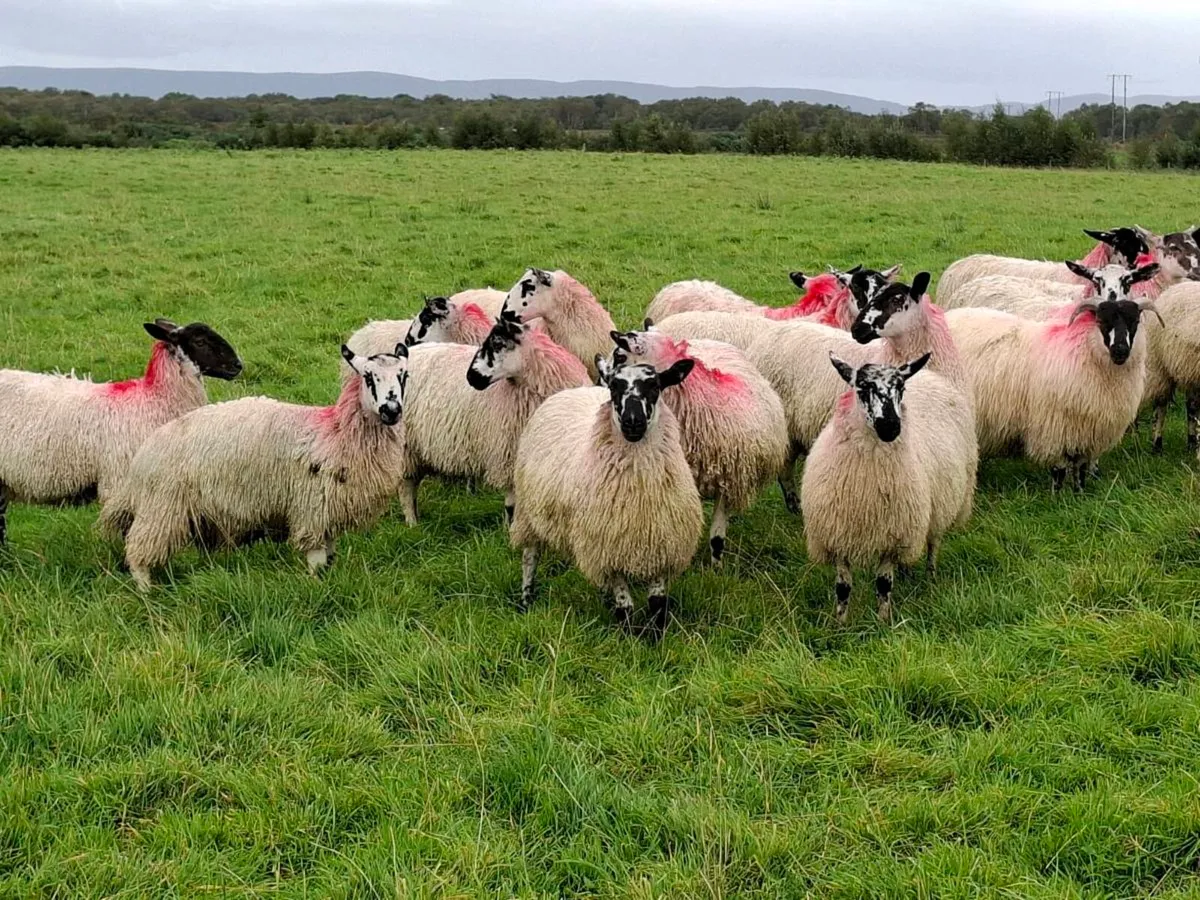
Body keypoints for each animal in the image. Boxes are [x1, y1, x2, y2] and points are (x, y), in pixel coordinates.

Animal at [99, 345, 410, 589]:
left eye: (404, 376)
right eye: (368, 377)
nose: (391, 410)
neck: (335, 433)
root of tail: (143, 454)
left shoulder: (328, 512)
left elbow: (329, 555)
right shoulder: (311, 508)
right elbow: (316, 559)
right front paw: (315, 586)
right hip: (161, 508)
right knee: (138, 551)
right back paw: (146, 591)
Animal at [397, 311, 590, 525]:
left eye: (497, 344)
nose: (471, 377)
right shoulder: (509, 455)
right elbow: (511, 506)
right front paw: (508, 529)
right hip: (406, 447)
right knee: (406, 488)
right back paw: (412, 523)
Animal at [510, 358, 703, 636]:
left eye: (655, 386)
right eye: (613, 387)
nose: (633, 422)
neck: (640, 489)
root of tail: (574, 390)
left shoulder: (662, 545)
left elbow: (657, 603)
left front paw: (656, 638)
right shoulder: (607, 548)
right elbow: (625, 603)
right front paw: (629, 636)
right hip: (528, 511)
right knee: (530, 556)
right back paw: (526, 599)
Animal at [801, 351, 975, 624]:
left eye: (901, 388)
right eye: (862, 387)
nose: (891, 427)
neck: (867, 478)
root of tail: (928, 375)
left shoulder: (893, 534)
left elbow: (883, 584)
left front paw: (883, 621)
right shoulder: (837, 534)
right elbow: (843, 587)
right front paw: (840, 623)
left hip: (941, 503)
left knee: (933, 542)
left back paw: (930, 577)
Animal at [944, 261, 1163, 490]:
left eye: (1128, 282)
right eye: (1097, 281)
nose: (1120, 351)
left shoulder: (1090, 424)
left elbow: (1082, 466)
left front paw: (1083, 487)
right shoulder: (1055, 426)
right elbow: (1059, 469)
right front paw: (1059, 494)